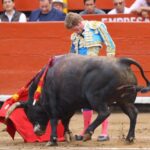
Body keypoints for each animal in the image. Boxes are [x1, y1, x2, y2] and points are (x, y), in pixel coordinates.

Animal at [5, 54, 150, 145]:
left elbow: (54, 120)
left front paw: (52, 140)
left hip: (95, 97)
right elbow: (65, 120)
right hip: (124, 100)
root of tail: (122, 61)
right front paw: (68, 135)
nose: (38, 132)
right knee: (133, 114)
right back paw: (129, 138)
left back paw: (87, 133)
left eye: (32, 113)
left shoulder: (52, 103)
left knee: (104, 112)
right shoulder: (69, 105)